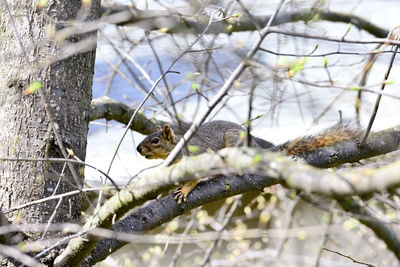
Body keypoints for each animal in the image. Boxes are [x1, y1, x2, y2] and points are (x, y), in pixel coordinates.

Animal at [137, 119, 362, 203]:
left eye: (155, 140)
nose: (138, 149)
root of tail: (255, 148)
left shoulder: (197, 154)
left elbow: (192, 179)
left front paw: (184, 190)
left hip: (233, 143)